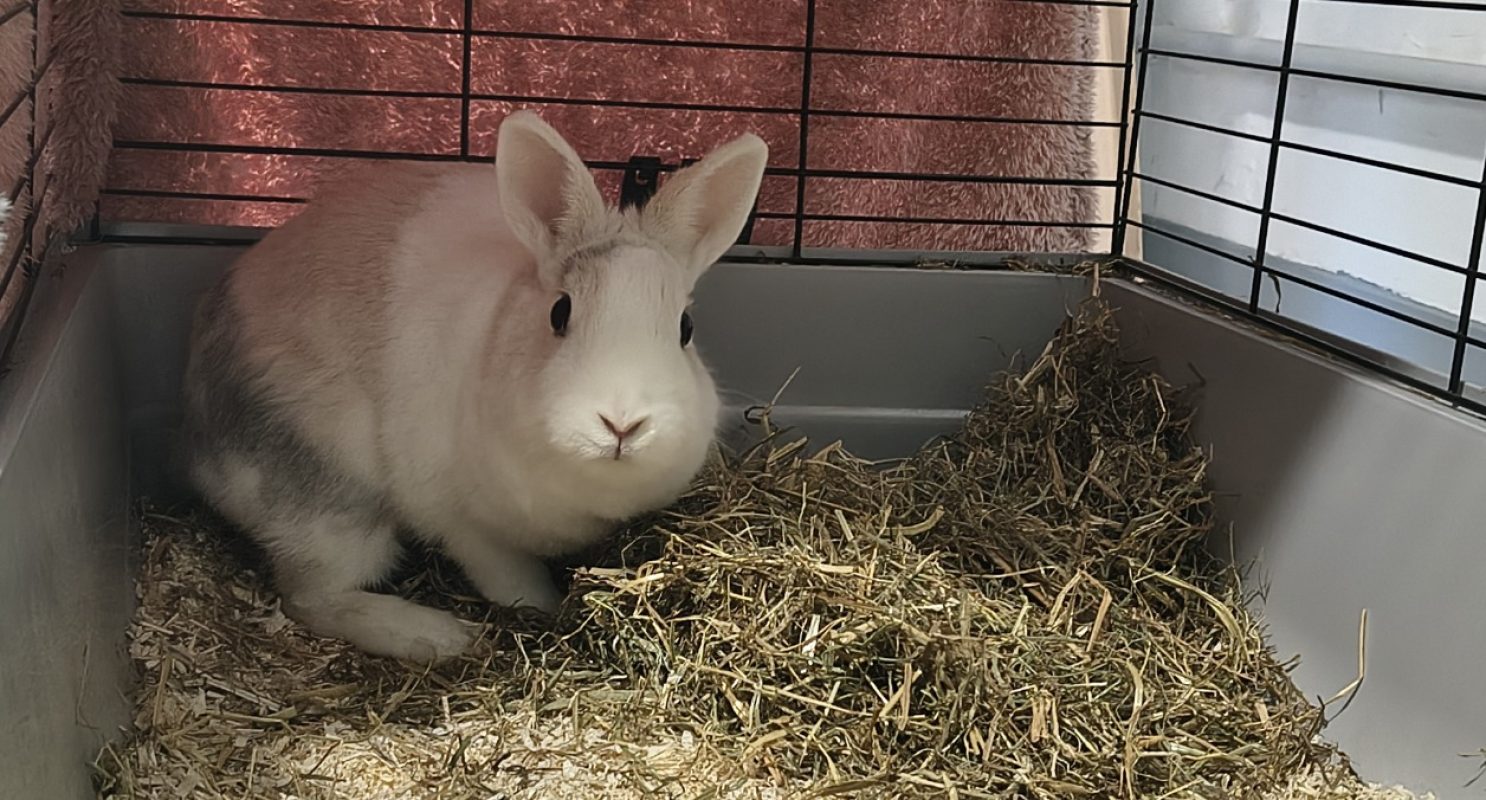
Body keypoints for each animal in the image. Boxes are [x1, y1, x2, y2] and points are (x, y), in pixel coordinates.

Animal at [181, 111, 769, 664]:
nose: (622, 423)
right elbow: (510, 579)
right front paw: (545, 609)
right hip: (331, 498)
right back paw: (436, 635)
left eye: (685, 330)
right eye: (559, 312)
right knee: (311, 596)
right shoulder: (463, 524)